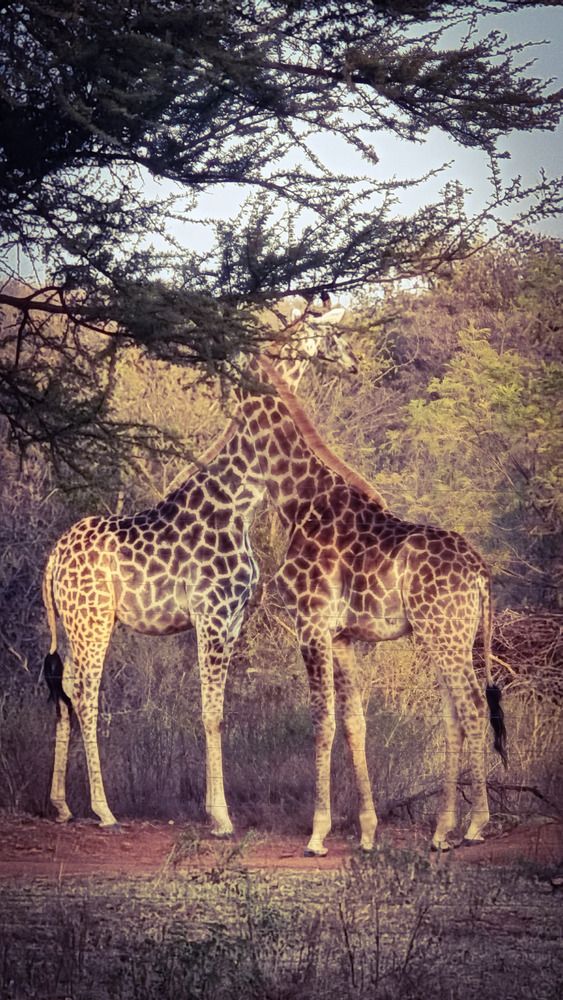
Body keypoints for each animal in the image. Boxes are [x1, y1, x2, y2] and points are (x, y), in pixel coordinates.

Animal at [42, 300, 359, 832]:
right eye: (332, 333)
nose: (355, 363)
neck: (243, 499)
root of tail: (52, 560)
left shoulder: (231, 619)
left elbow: (219, 711)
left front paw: (215, 809)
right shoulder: (211, 614)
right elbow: (211, 713)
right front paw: (222, 818)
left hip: (71, 622)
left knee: (63, 687)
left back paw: (62, 805)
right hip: (93, 619)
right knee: (85, 693)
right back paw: (103, 809)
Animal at [235, 355, 507, 855]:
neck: (297, 502)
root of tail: (481, 572)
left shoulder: (311, 624)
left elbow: (322, 720)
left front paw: (318, 834)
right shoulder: (342, 636)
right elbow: (353, 722)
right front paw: (366, 832)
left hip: (444, 635)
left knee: (474, 706)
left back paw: (476, 825)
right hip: (446, 637)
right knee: (455, 715)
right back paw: (441, 831)